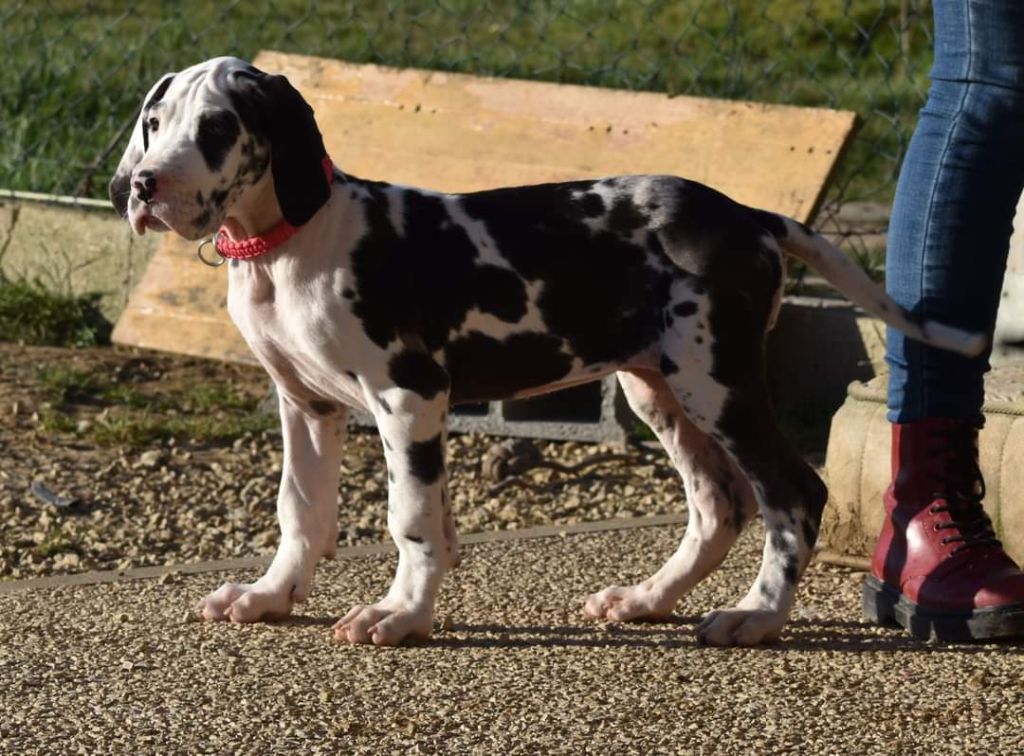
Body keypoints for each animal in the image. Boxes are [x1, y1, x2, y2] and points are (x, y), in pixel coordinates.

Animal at [110, 57, 984, 647]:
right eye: (154, 124)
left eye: (217, 128)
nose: (145, 184)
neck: (290, 244)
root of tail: (749, 216)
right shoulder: (308, 405)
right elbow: (301, 510)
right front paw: (270, 596)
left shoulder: (409, 397)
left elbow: (410, 518)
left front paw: (402, 613)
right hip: (657, 387)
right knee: (718, 504)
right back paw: (647, 600)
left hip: (717, 382)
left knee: (791, 494)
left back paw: (756, 617)